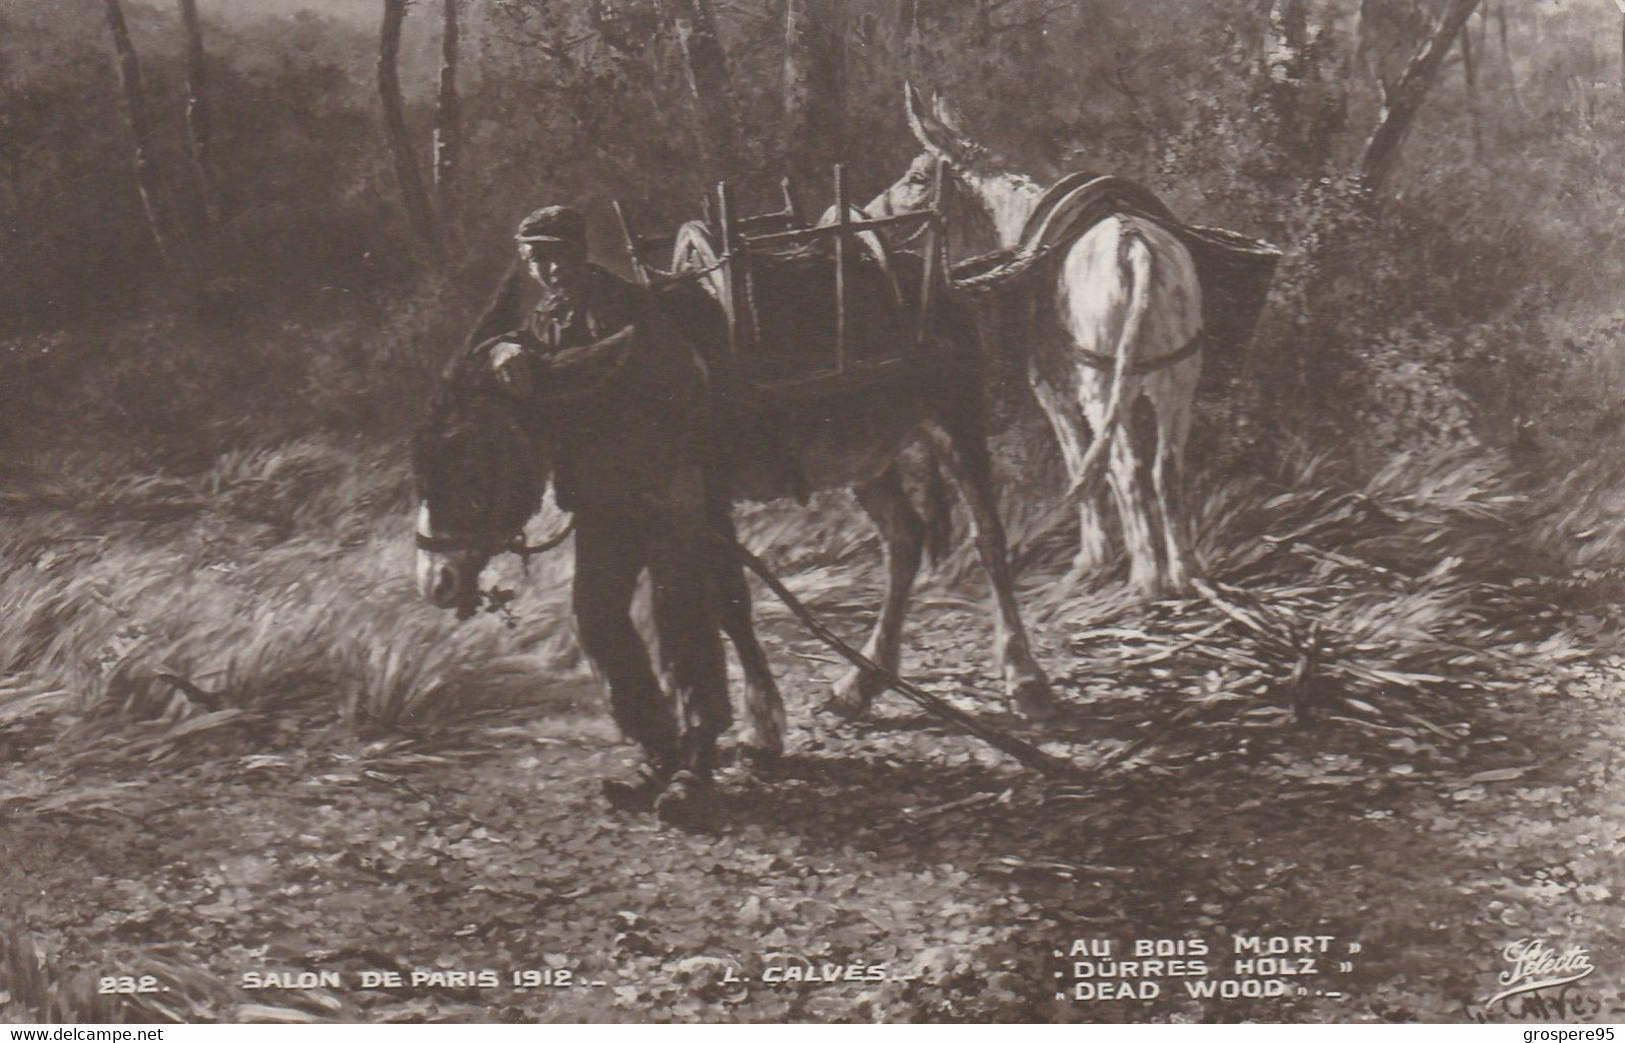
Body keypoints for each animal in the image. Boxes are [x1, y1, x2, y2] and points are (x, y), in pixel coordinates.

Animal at [412, 253, 1046, 818]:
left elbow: (722, 606)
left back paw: (1023, 678)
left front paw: (747, 733)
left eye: (472, 455)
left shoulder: (699, 500)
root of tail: (933, 273)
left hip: (955, 418)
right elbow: (723, 608)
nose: (434, 581)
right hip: (867, 454)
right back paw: (860, 684)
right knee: (903, 539)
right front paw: (743, 734)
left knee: (989, 538)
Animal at [877, 85, 1209, 597]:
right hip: (1176, 385)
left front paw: (1093, 560)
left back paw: (1147, 581)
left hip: (1103, 392)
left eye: (917, 177)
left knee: (1129, 470)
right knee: (1164, 469)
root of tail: (1135, 247)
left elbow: (1083, 469)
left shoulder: (1057, 397)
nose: (870, 217)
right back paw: (1183, 574)